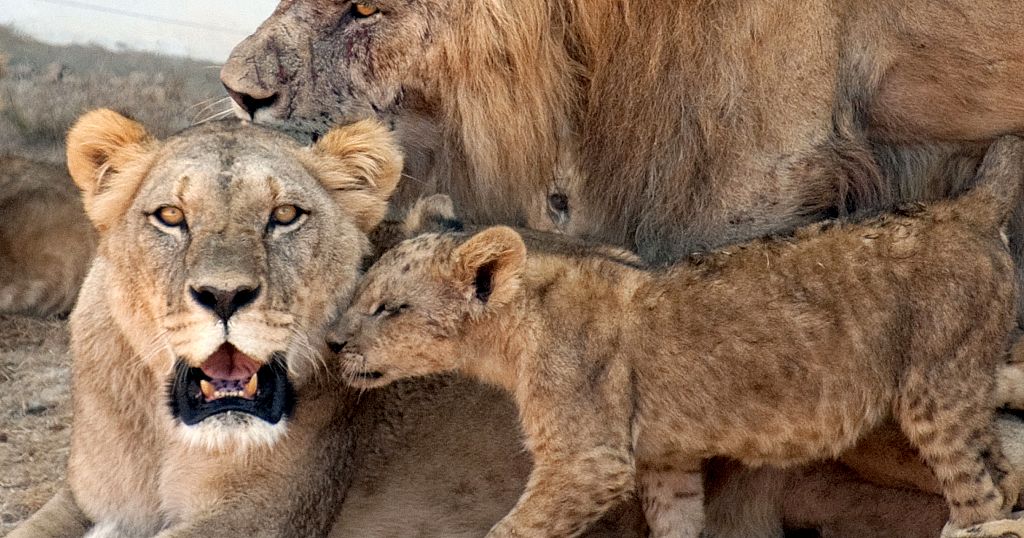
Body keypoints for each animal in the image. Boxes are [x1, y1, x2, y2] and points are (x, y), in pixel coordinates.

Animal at [328, 137, 1024, 537]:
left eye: (390, 308)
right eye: (359, 295)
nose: (332, 344)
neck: (512, 334)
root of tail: (964, 207)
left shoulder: (589, 459)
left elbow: (515, 529)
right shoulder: (665, 457)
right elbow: (678, 519)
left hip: (935, 387)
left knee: (978, 496)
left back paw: (977, 525)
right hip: (969, 377)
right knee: (1001, 458)